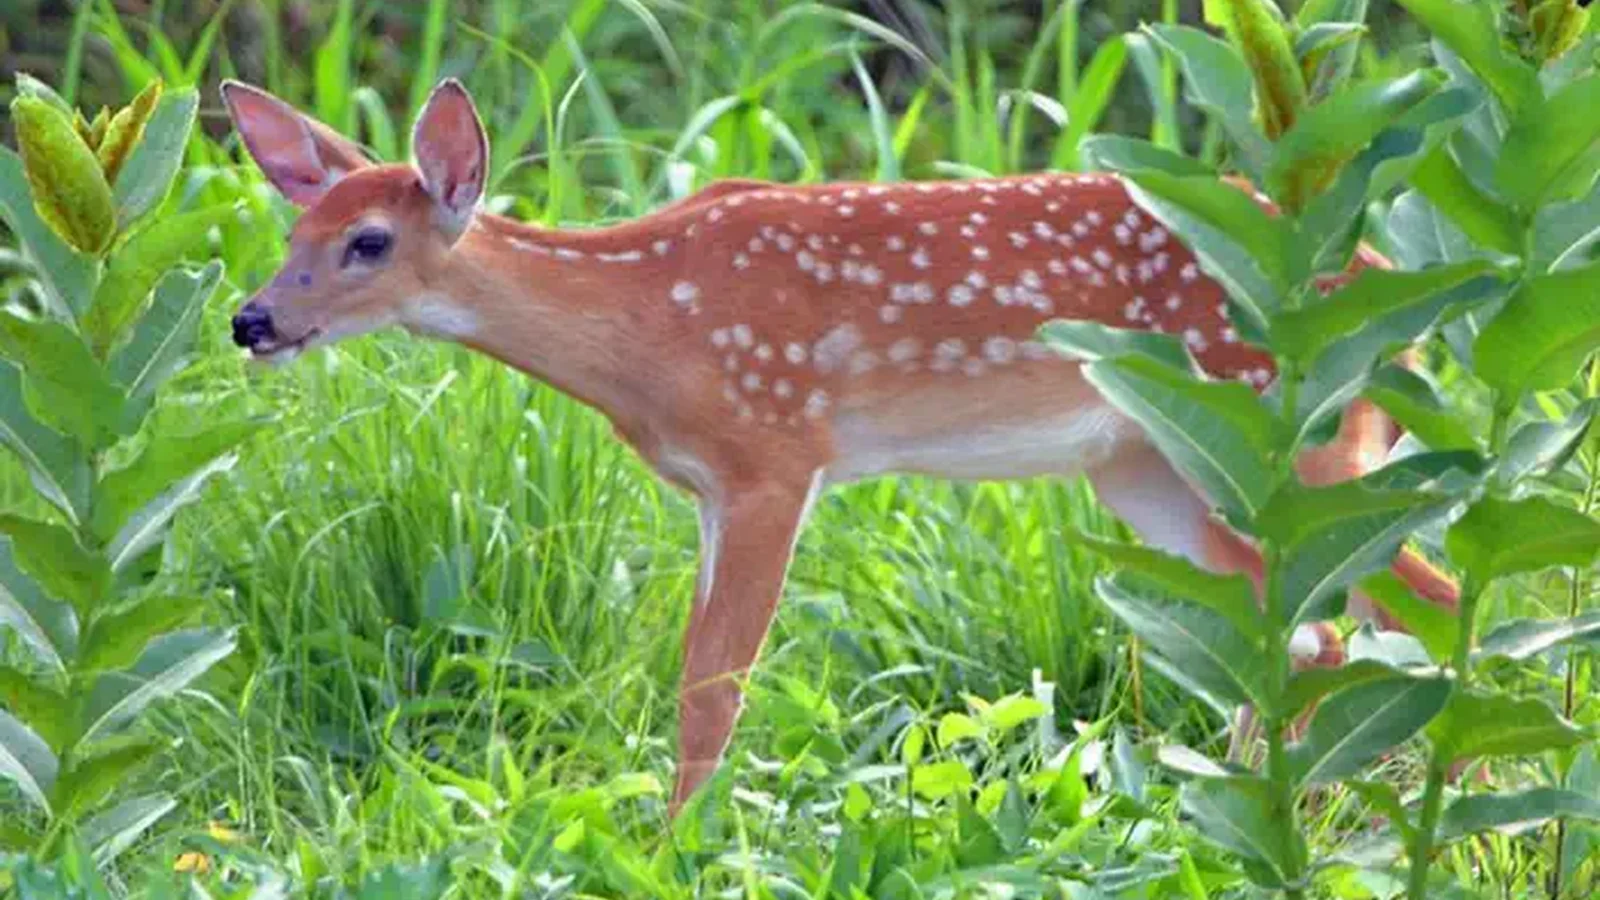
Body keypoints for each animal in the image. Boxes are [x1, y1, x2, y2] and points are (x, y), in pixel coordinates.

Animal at [219, 77, 1460, 817]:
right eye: (292, 230)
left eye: (368, 242)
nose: (252, 320)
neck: (649, 327)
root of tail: (1387, 291)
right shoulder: (708, 488)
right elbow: (697, 677)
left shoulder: (775, 454)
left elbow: (713, 687)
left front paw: (679, 848)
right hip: (1149, 466)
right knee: (1300, 628)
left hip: (1290, 442)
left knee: (1417, 601)